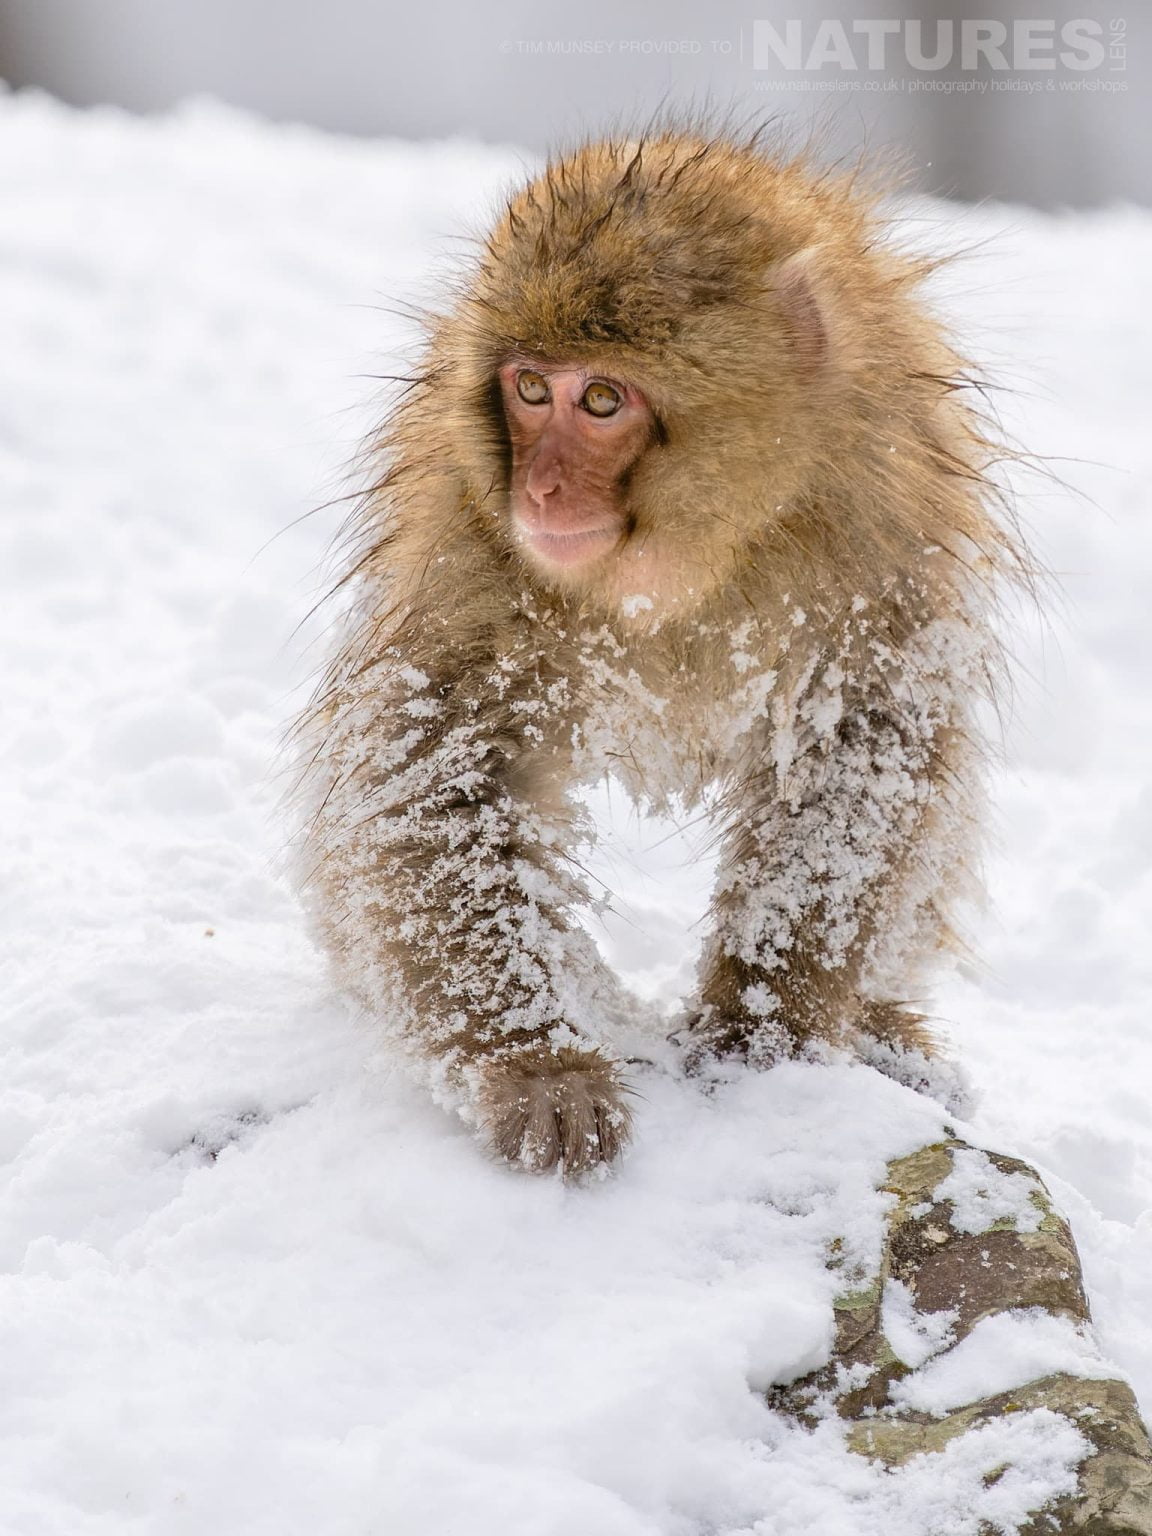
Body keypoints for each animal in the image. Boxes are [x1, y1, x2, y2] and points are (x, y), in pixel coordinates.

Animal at [292, 124, 1027, 1176]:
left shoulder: (884, 521)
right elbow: (436, 775)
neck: (679, 566)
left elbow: (863, 755)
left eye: (602, 399)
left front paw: (766, 1022)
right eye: (529, 389)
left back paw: (881, 1028)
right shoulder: (467, 540)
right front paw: (537, 1068)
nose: (543, 492)